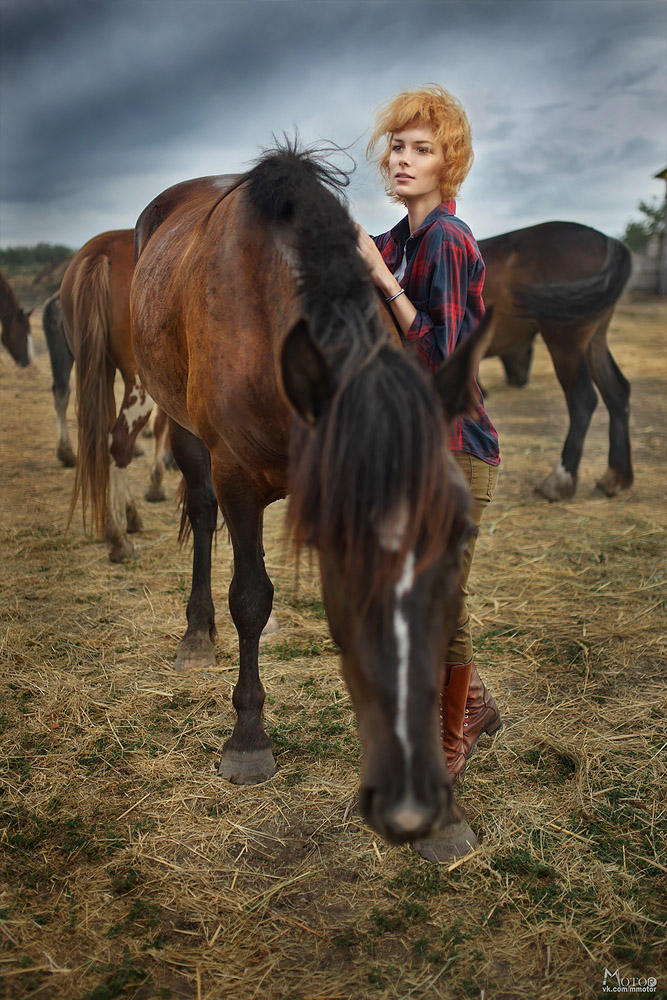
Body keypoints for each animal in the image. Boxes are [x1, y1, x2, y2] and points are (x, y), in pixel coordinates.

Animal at [59, 232, 171, 564]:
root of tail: (102, 251)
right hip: (139, 383)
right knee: (120, 441)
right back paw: (119, 536)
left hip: (101, 371)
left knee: (104, 439)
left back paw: (128, 516)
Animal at [132, 150, 496, 852]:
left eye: (460, 529)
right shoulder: (236, 475)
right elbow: (249, 596)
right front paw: (248, 741)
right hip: (184, 431)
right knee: (204, 516)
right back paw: (197, 634)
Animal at [480, 221, 632, 498]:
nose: (519, 380)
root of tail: (607, 240)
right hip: (594, 342)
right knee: (617, 392)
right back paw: (614, 477)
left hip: (565, 341)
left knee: (583, 399)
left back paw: (559, 480)